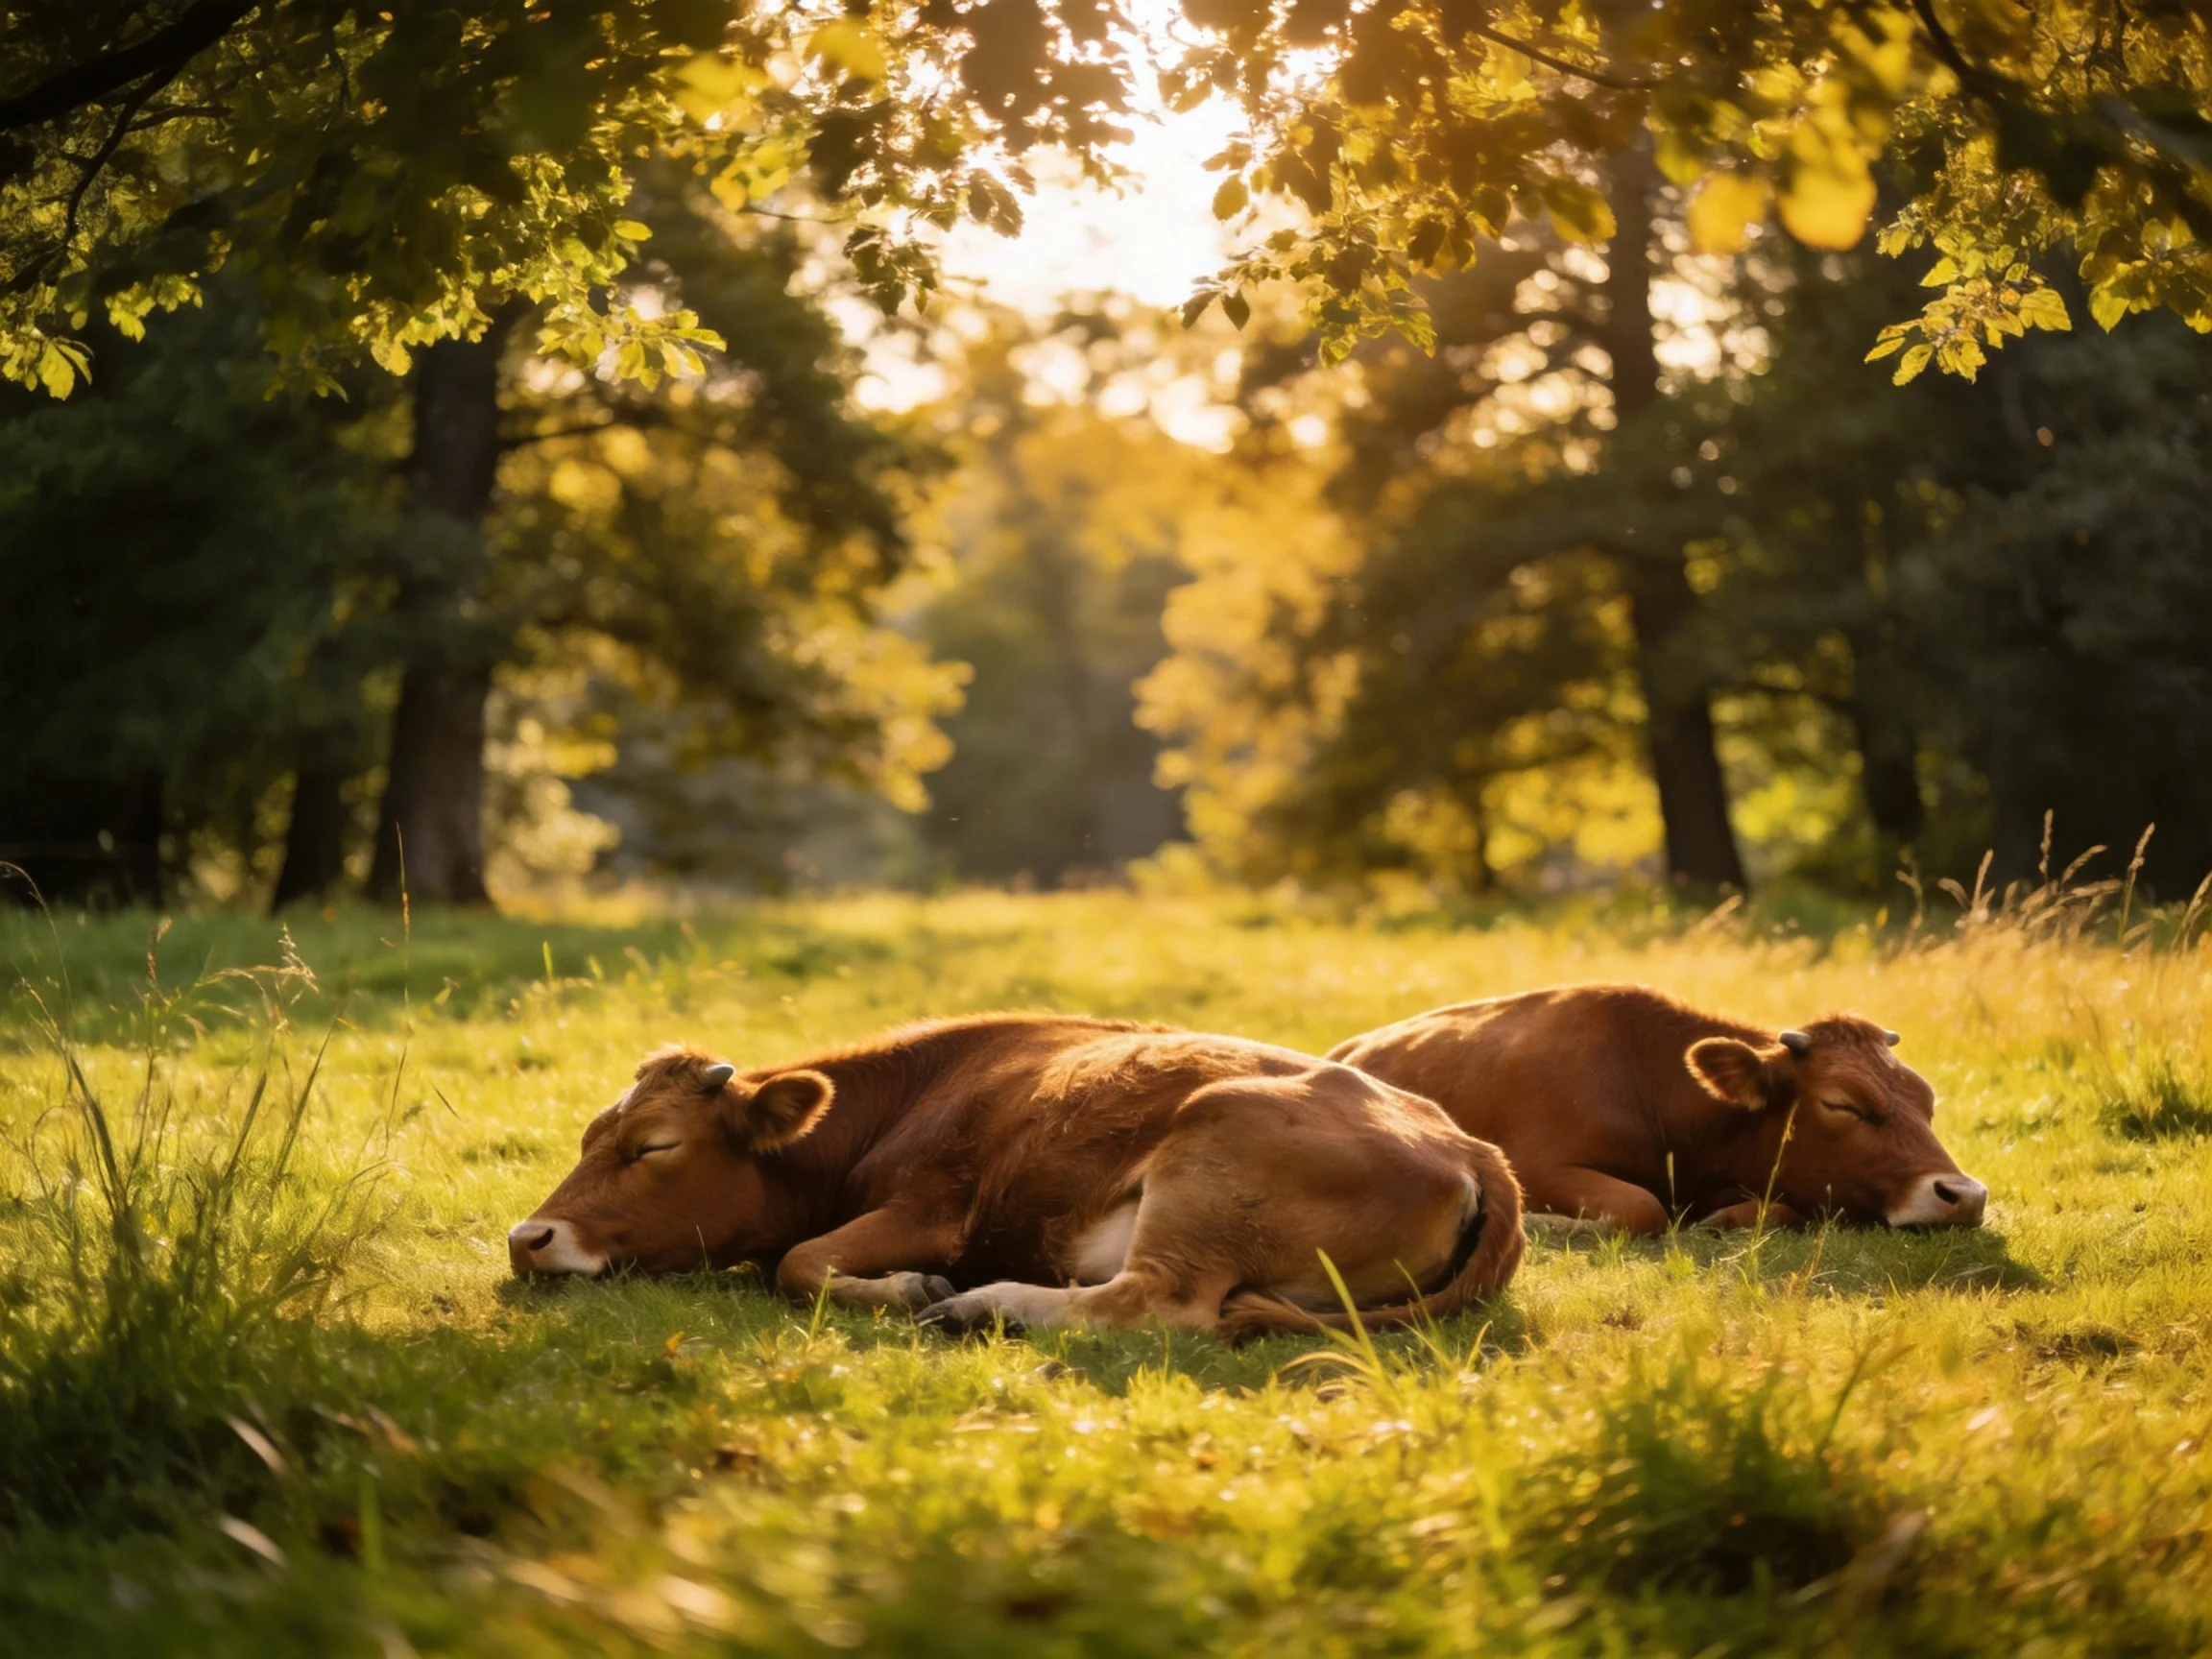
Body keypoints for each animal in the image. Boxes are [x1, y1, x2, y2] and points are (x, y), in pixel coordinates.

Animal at [507, 1014, 1524, 1339]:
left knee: (1161, 1303)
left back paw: (978, 1304)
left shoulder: (934, 1209)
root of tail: (1475, 1150)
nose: (527, 1239)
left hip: (1211, 1152)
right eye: (590, 1135)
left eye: (654, 1146)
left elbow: (798, 1263)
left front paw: (916, 1288)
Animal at [1327, 984, 1987, 1235]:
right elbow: (1639, 1208)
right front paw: (1545, 1225)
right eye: (1842, 1105)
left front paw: (1726, 1219)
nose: (1965, 1195)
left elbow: (1779, 1208)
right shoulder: (1533, 1163)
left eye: (1927, 1102)